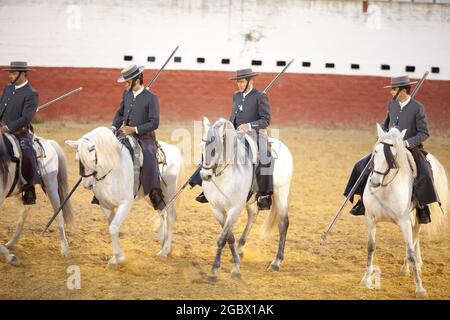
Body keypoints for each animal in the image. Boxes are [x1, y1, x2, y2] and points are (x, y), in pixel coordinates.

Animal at [0, 132, 73, 264]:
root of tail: (48, 142)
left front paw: (10, 257)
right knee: (24, 211)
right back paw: (10, 243)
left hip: (51, 185)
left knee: (58, 213)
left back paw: (64, 249)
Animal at [64, 126, 183, 266]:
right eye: (78, 160)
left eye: (92, 160)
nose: (87, 184)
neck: (112, 170)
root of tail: (174, 150)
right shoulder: (105, 206)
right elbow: (112, 228)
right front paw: (114, 259)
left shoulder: (125, 204)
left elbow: (114, 228)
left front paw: (119, 257)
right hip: (151, 196)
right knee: (161, 211)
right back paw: (163, 243)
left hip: (170, 193)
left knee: (170, 217)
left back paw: (164, 251)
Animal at [200, 117, 292, 280]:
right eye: (202, 146)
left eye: (215, 149)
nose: (205, 175)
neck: (224, 176)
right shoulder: (217, 209)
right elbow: (229, 237)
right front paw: (235, 264)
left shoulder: (235, 209)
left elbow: (222, 238)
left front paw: (215, 271)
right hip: (251, 200)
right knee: (253, 215)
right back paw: (240, 248)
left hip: (281, 193)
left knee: (283, 224)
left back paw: (276, 262)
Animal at [362, 124, 450, 298]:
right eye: (376, 151)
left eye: (392, 156)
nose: (374, 181)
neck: (385, 189)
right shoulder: (370, 218)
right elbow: (371, 246)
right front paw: (367, 278)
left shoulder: (404, 221)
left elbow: (410, 250)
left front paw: (420, 289)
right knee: (415, 237)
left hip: (418, 215)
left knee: (415, 236)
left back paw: (407, 267)